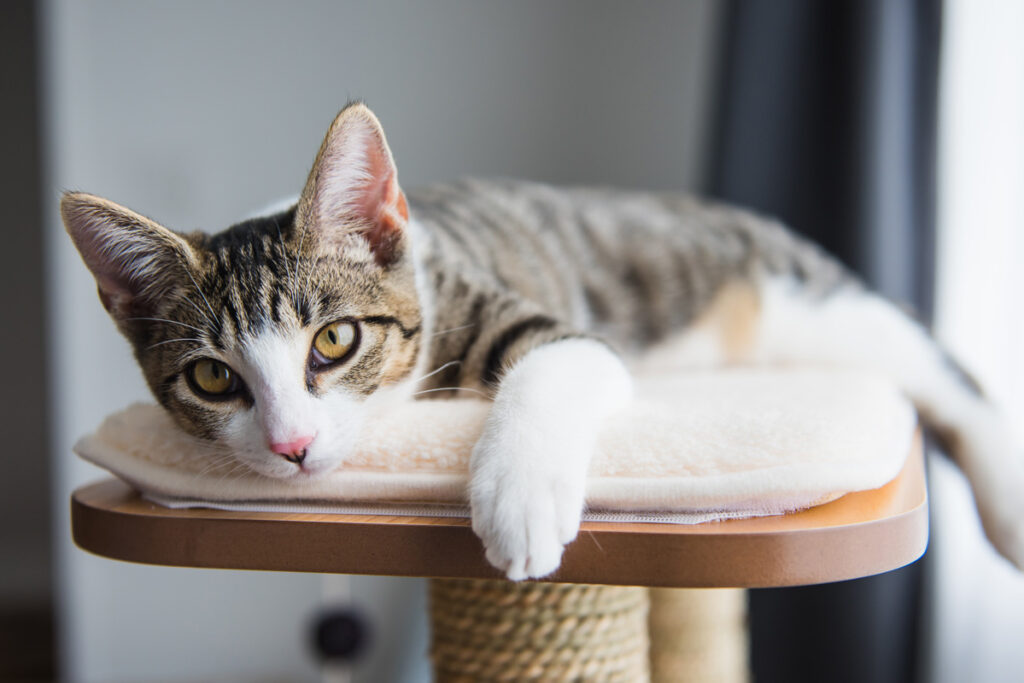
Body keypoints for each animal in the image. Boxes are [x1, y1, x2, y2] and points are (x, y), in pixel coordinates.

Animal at [64, 102, 1024, 581]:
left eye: (333, 339)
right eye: (213, 379)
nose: (292, 445)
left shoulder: (533, 318)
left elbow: (557, 362)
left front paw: (517, 501)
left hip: (799, 303)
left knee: (940, 367)